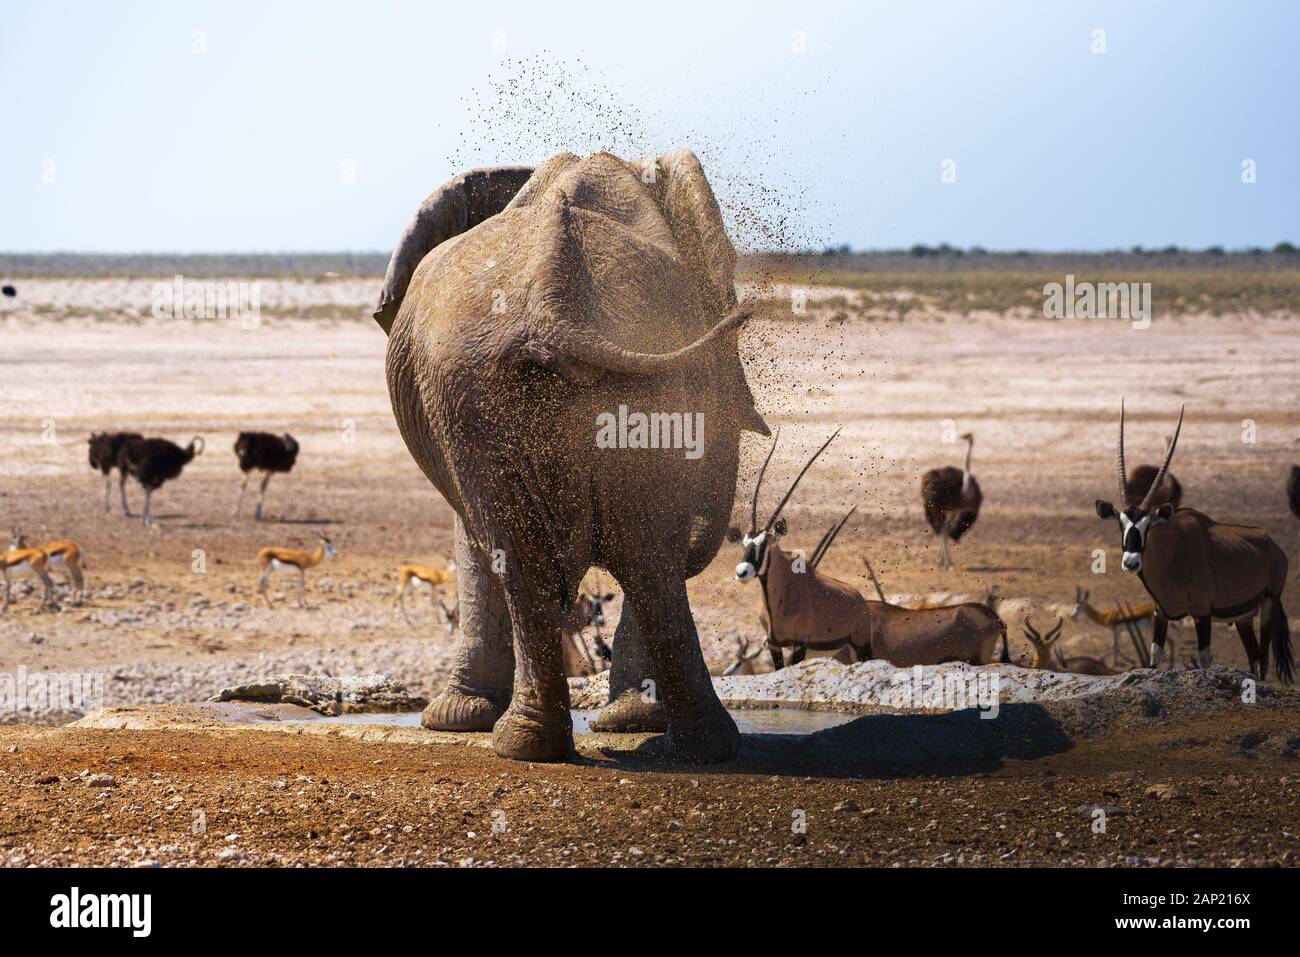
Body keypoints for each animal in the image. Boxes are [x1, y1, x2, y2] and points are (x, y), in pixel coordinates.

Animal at [722, 429, 1003, 670]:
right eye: (745, 543)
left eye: (765, 544)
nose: (742, 571)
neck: (781, 596)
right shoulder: (775, 646)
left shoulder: (800, 645)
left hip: (861, 647)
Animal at [1097, 403, 1289, 681]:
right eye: (1120, 523)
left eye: (1148, 525)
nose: (1130, 562)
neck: (1171, 552)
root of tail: (1273, 546)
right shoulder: (1160, 612)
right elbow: (1154, 657)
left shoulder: (1202, 613)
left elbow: (1204, 659)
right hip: (1243, 617)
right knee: (1254, 656)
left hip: (1269, 604)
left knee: (1262, 658)